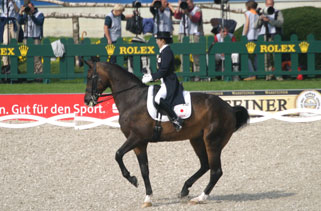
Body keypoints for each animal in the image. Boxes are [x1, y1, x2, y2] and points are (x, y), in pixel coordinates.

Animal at [84, 61, 249, 208]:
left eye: (90, 77)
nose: (87, 100)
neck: (132, 99)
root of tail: (229, 108)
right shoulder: (139, 143)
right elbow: (144, 169)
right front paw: (148, 198)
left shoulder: (136, 137)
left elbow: (118, 155)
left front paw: (132, 179)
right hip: (196, 139)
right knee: (205, 165)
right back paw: (185, 189)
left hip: (212, 141)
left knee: (216, 171)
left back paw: (200, 198)